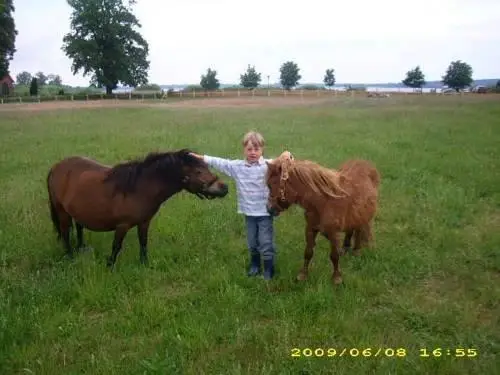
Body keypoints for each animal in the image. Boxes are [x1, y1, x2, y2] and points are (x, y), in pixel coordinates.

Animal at [46, 148, 229, 268]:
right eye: (198, 171)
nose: (224, 187)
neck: (140, 188)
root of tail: (56, 166)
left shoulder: (144, 222)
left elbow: (143, 242)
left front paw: (144, 264)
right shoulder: (122, 225)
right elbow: (116, 246)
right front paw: (109, 266)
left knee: (79, 227)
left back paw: (81, 248)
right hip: (61, 211)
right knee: (65, 233)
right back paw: (70, 256)